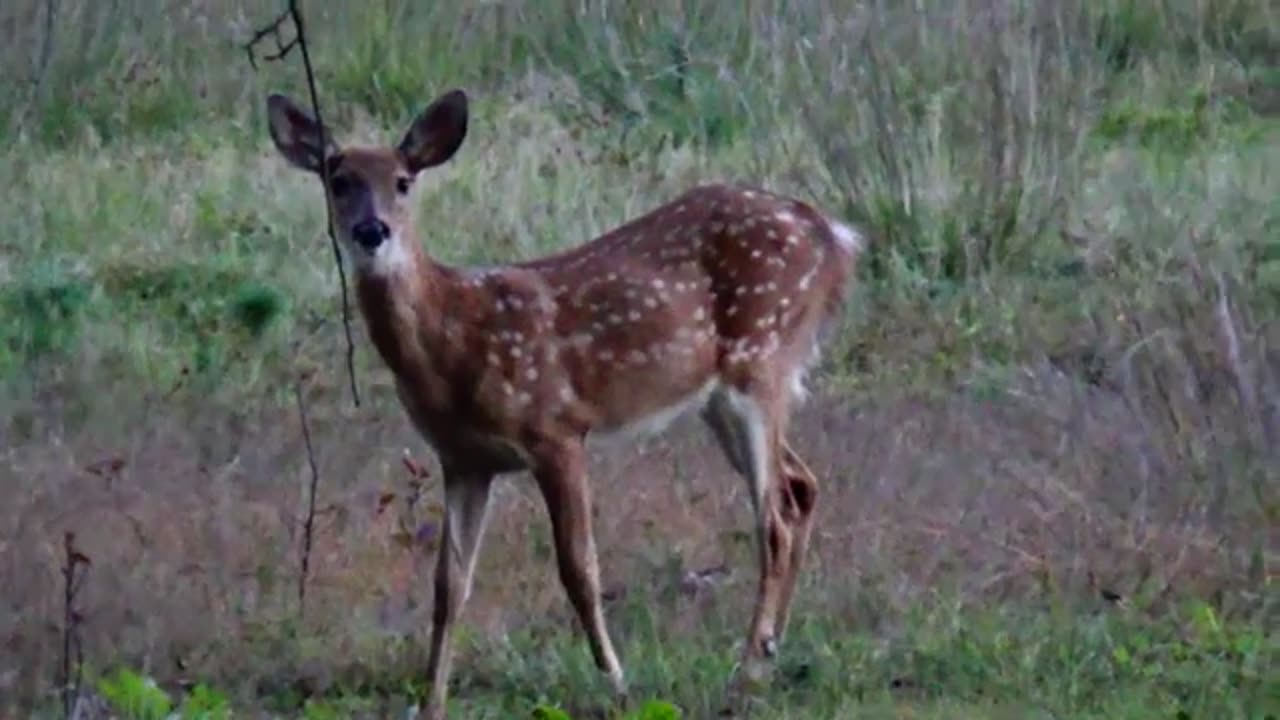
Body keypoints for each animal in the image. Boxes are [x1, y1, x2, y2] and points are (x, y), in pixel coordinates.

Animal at [267, 87, 870, 712]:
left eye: (404, 181)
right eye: (338, 179)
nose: (372, 231)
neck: (452, 343)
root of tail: (835, 237)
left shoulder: (555, 428)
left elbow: (578, 567)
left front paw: (617, 680)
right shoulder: (463, 459)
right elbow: (449, 584)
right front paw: (430, 701)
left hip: (760, 358)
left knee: (773, 515)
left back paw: (746, 668)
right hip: (721, 398)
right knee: (800, 487)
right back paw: (771, 652)